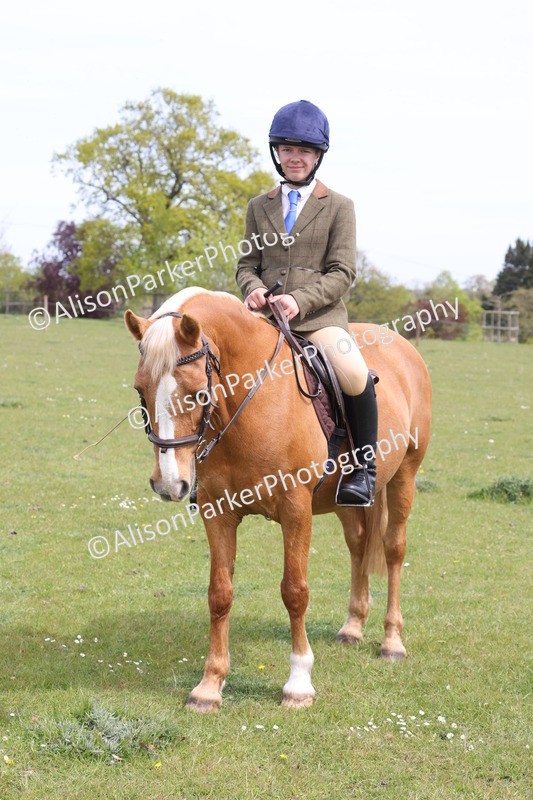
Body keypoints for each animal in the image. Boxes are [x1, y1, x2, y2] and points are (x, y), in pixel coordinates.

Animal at [124, 287, 432, 712]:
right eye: (141, 390)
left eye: (198, 393)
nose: (170, 484)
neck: (247, 401)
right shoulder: (216, 513)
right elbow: (219, 593)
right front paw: (209, 686)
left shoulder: (296, 510)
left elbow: (295, 592)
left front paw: (299, 684)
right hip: (344, 504)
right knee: (358, 546)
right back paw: (353, 627)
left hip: (405, 476)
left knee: (393, 550)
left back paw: (392, 641)